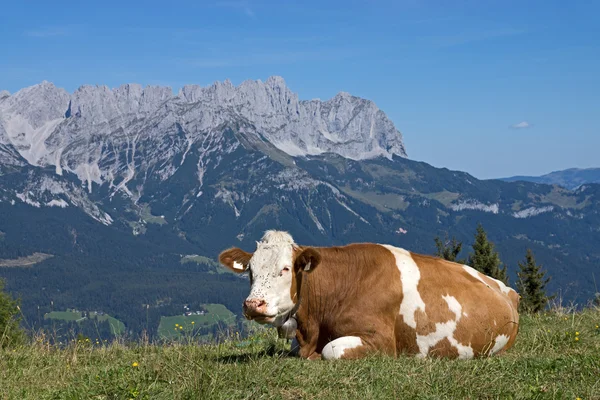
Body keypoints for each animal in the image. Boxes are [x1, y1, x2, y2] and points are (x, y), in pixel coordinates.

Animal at [220, 230, 520, 360]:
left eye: (285, 269)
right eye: (250, 270)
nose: (253, 304)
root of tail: (504, 288)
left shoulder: (381, 341)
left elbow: (331, 351)